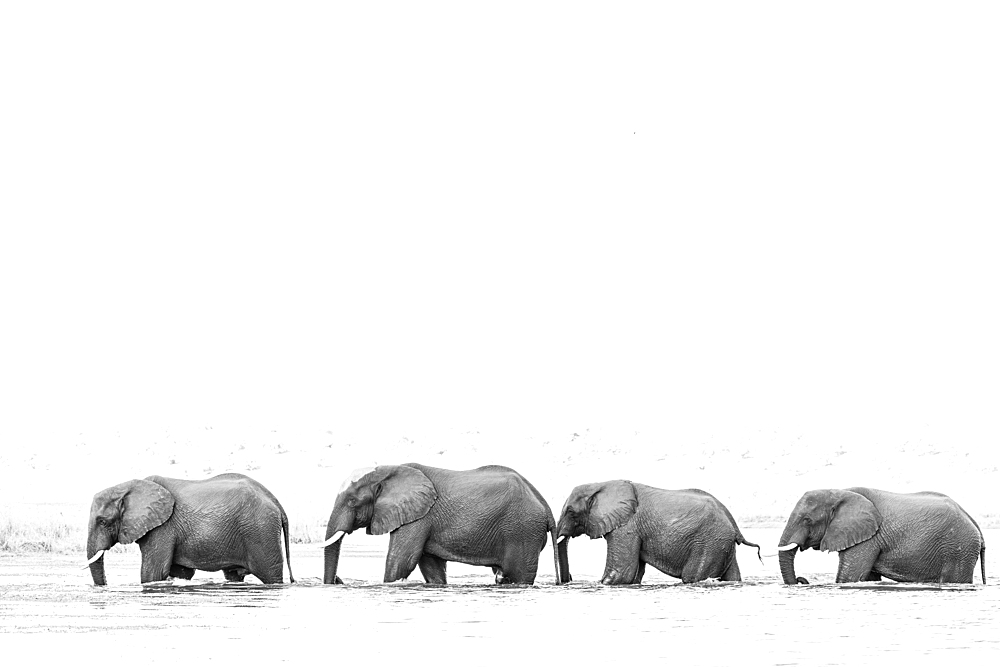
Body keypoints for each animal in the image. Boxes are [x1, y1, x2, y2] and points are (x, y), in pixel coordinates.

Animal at [85, 472, 292, 588]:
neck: (129, 487)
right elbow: (181, 573)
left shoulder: (163, 528)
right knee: (233, 575)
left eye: (102, 521)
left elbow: (153, 573)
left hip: (261, 531)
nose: (104, 587)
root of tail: (275, 501)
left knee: (270, 574)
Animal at [320, 464, 572, 584]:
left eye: (352, 501)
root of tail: (545, 506)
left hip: (522, 532)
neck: (388, 470)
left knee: (519, 575)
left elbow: (401, 562)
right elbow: (431, 567)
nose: (337, 580)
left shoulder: (419, 517)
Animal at [556, 480, 756, 584]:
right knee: (732, 576)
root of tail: (734, 526)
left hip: (709, 543)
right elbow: (634, 574)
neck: (600, 484)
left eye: (570, 512)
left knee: (692, 576)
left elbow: (621, 573)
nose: (568, 580)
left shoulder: (627, 527)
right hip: (721, 544)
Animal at [772, 488, 984, 588]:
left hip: (958, 550)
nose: (801, 580)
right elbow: (867, 576)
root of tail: (976, 526)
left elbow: (849, 577)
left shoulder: (868, 538)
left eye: (807, 520)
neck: (840, 492)